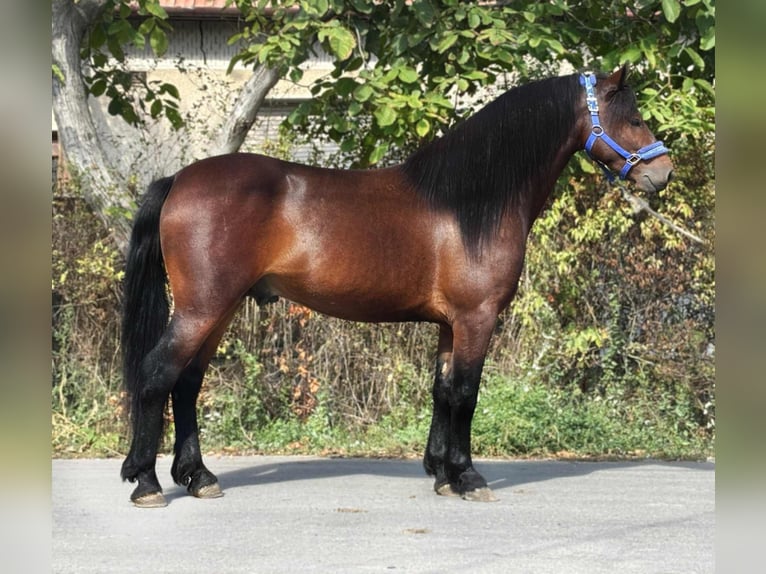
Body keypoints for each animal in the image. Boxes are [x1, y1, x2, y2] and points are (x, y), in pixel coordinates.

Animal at [120, 65, 673, 507]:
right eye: (632, 118)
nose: (663, 173)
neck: (469, 202)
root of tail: (179, 180)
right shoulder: (477, 317)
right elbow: (467, 393)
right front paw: (470, 477)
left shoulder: (451, 324)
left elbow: (443, 391)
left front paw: (444, 474)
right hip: (202, 307)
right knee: (157, 374)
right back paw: (147, 483)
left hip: (221, 308)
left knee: (188, 383)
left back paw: (199, 477)